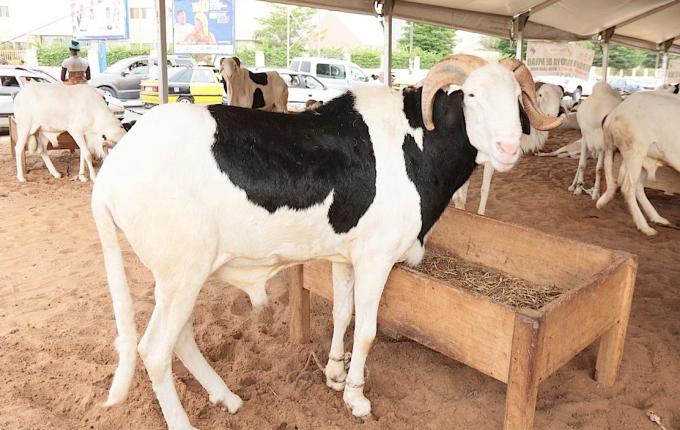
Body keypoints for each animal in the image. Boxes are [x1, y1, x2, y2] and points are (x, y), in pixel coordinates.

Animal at [596, 91, 676, 235]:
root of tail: (614, 113)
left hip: (640, 158)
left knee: (637, 186)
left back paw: (657, 218)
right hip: (635, 153)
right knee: (628, 188)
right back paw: (645, 227)